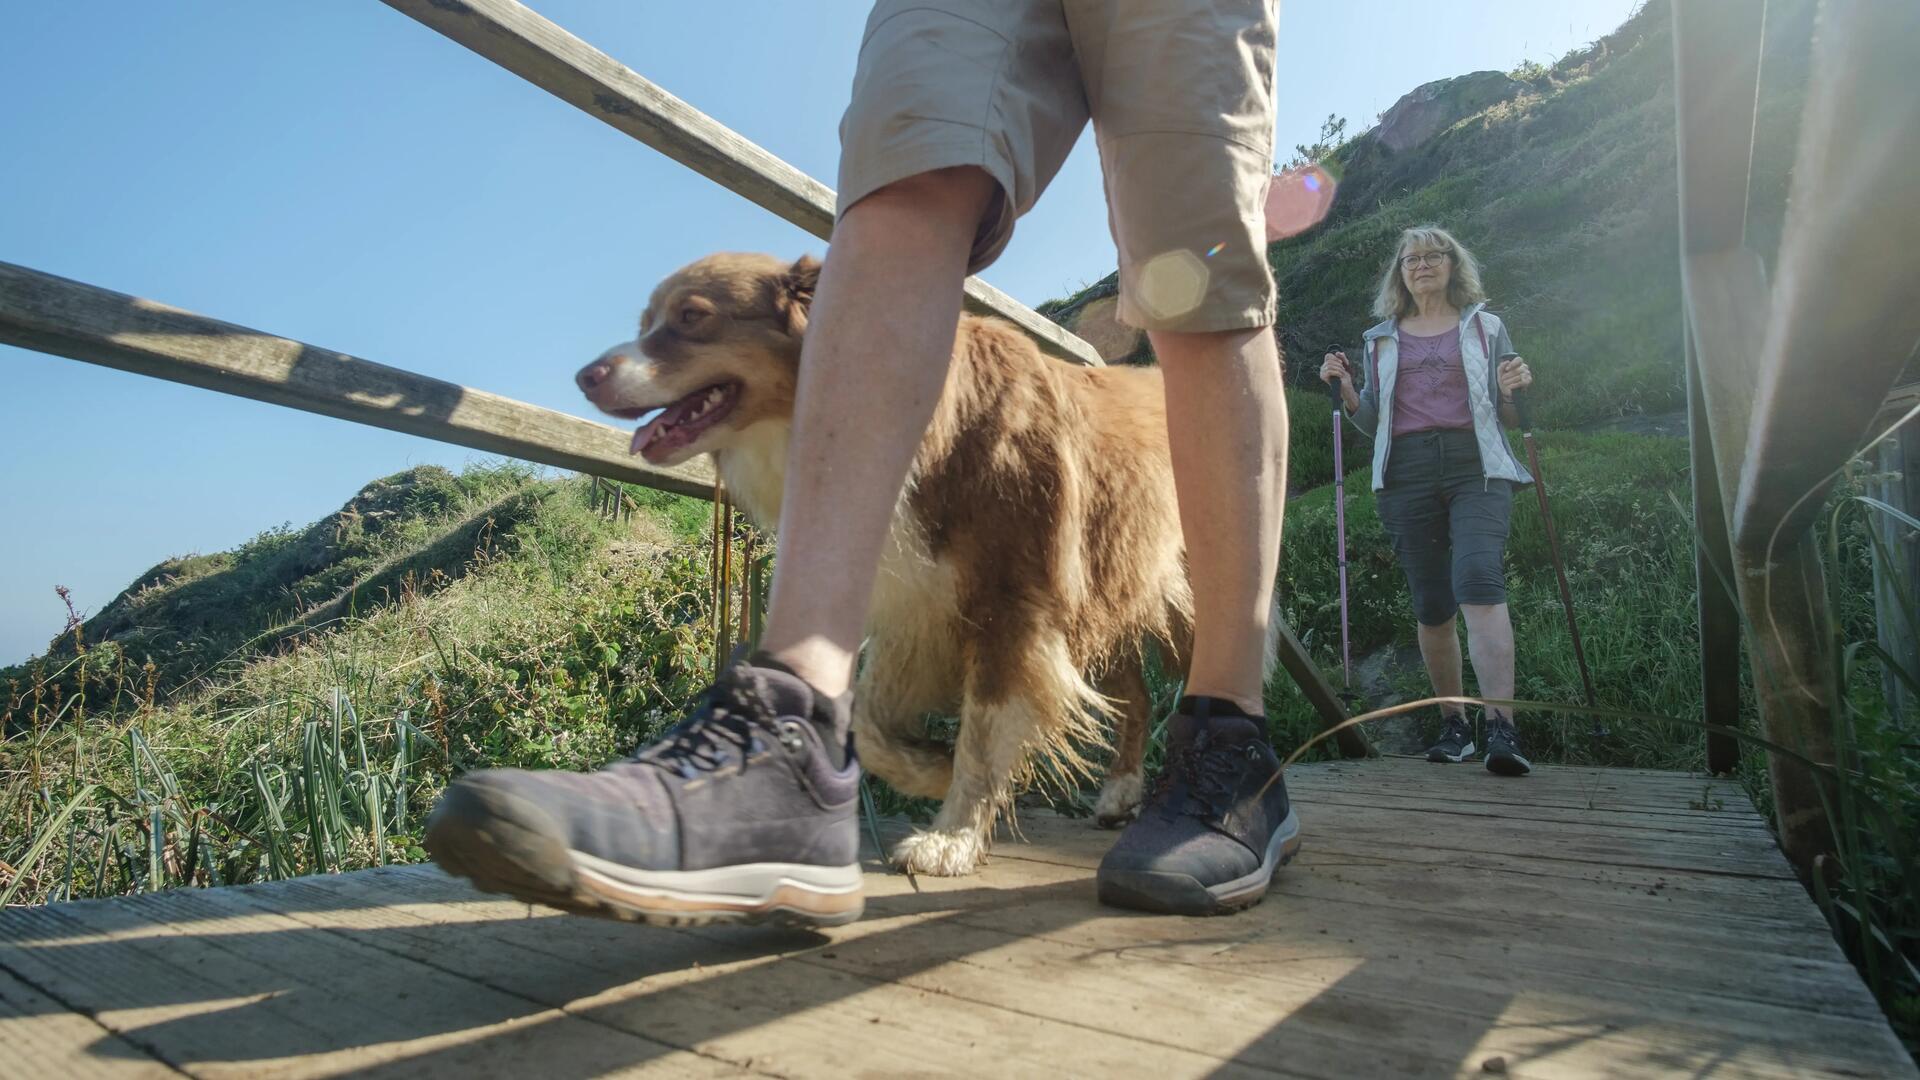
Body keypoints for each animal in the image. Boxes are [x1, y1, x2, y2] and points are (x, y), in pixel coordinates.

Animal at [576, 253, 1190, 876]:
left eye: (692, 316)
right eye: (647, 321)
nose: (585, 376)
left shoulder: (1014, 600)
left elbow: (984, 731)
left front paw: (952, 838)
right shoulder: (916, 603)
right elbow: (868, 721)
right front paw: (934, 767)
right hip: (1106, 595)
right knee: (1137, 694)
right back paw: (1119, 792)